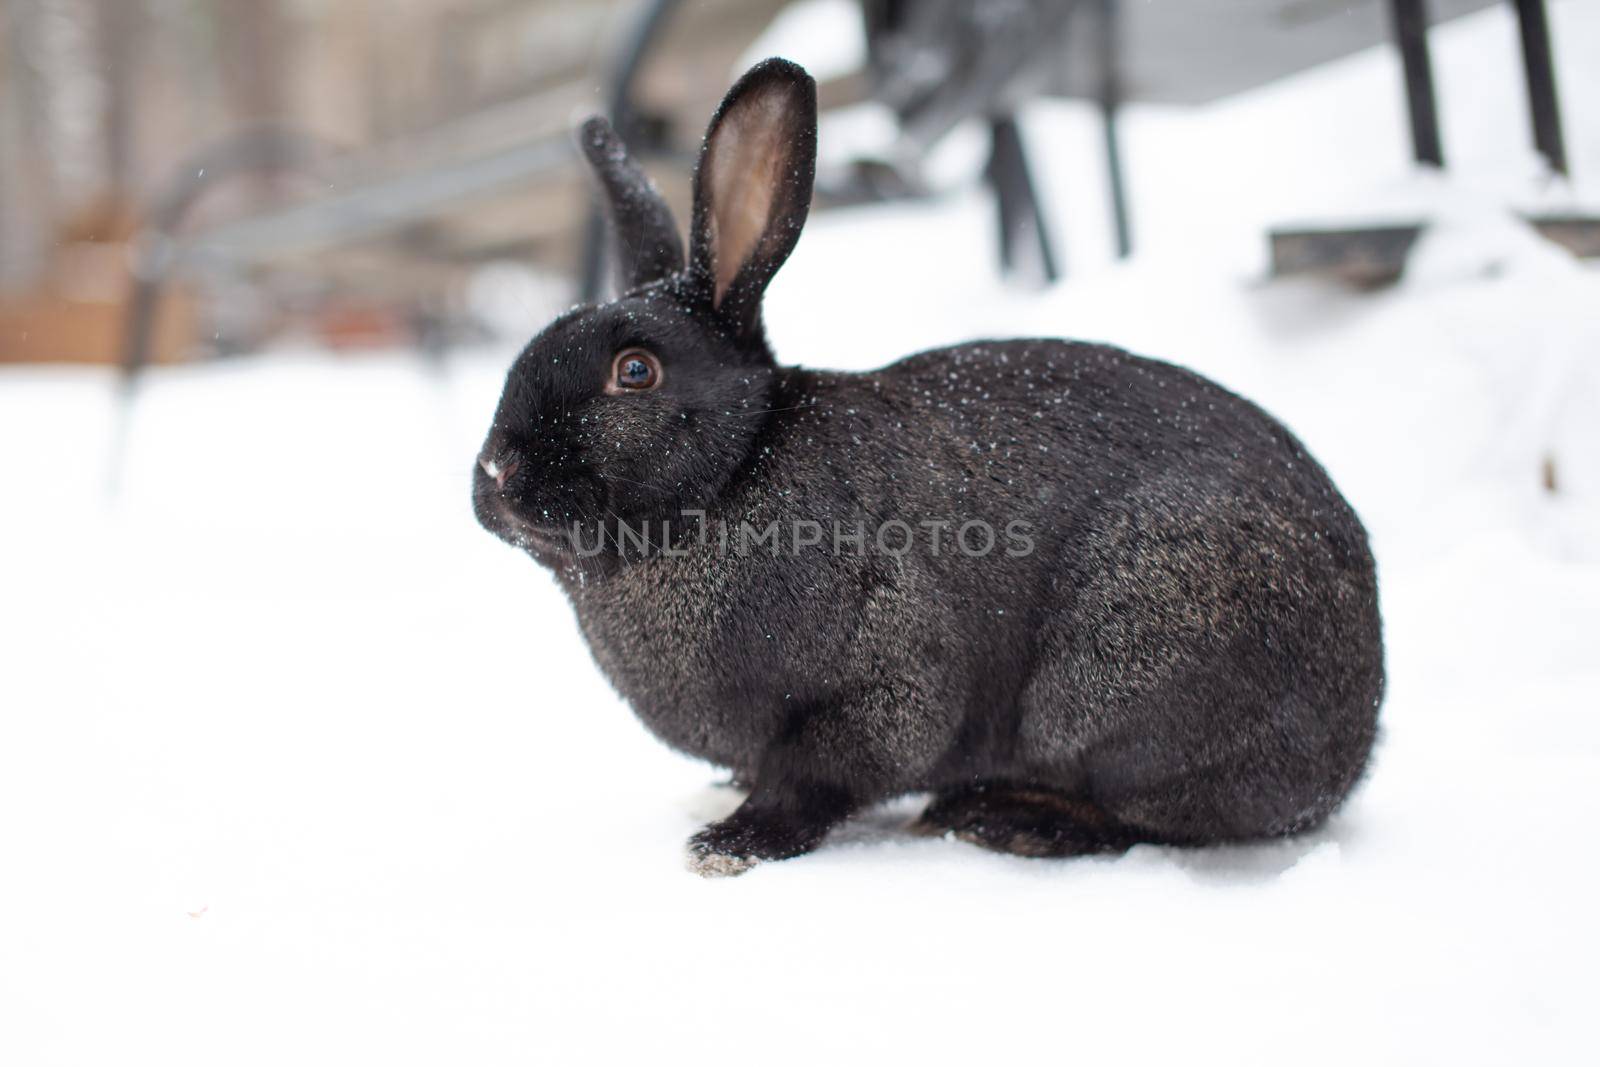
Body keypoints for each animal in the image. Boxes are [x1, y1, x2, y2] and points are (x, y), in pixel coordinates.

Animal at [467, 58, 1382, 876]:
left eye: (635, 372)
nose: (496, 475)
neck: (732, 476)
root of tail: (1359, 732)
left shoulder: (881, 680)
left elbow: (818, 778)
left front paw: (728, 843)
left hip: (1131, 673)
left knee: (1150, 817)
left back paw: (1003, 819)